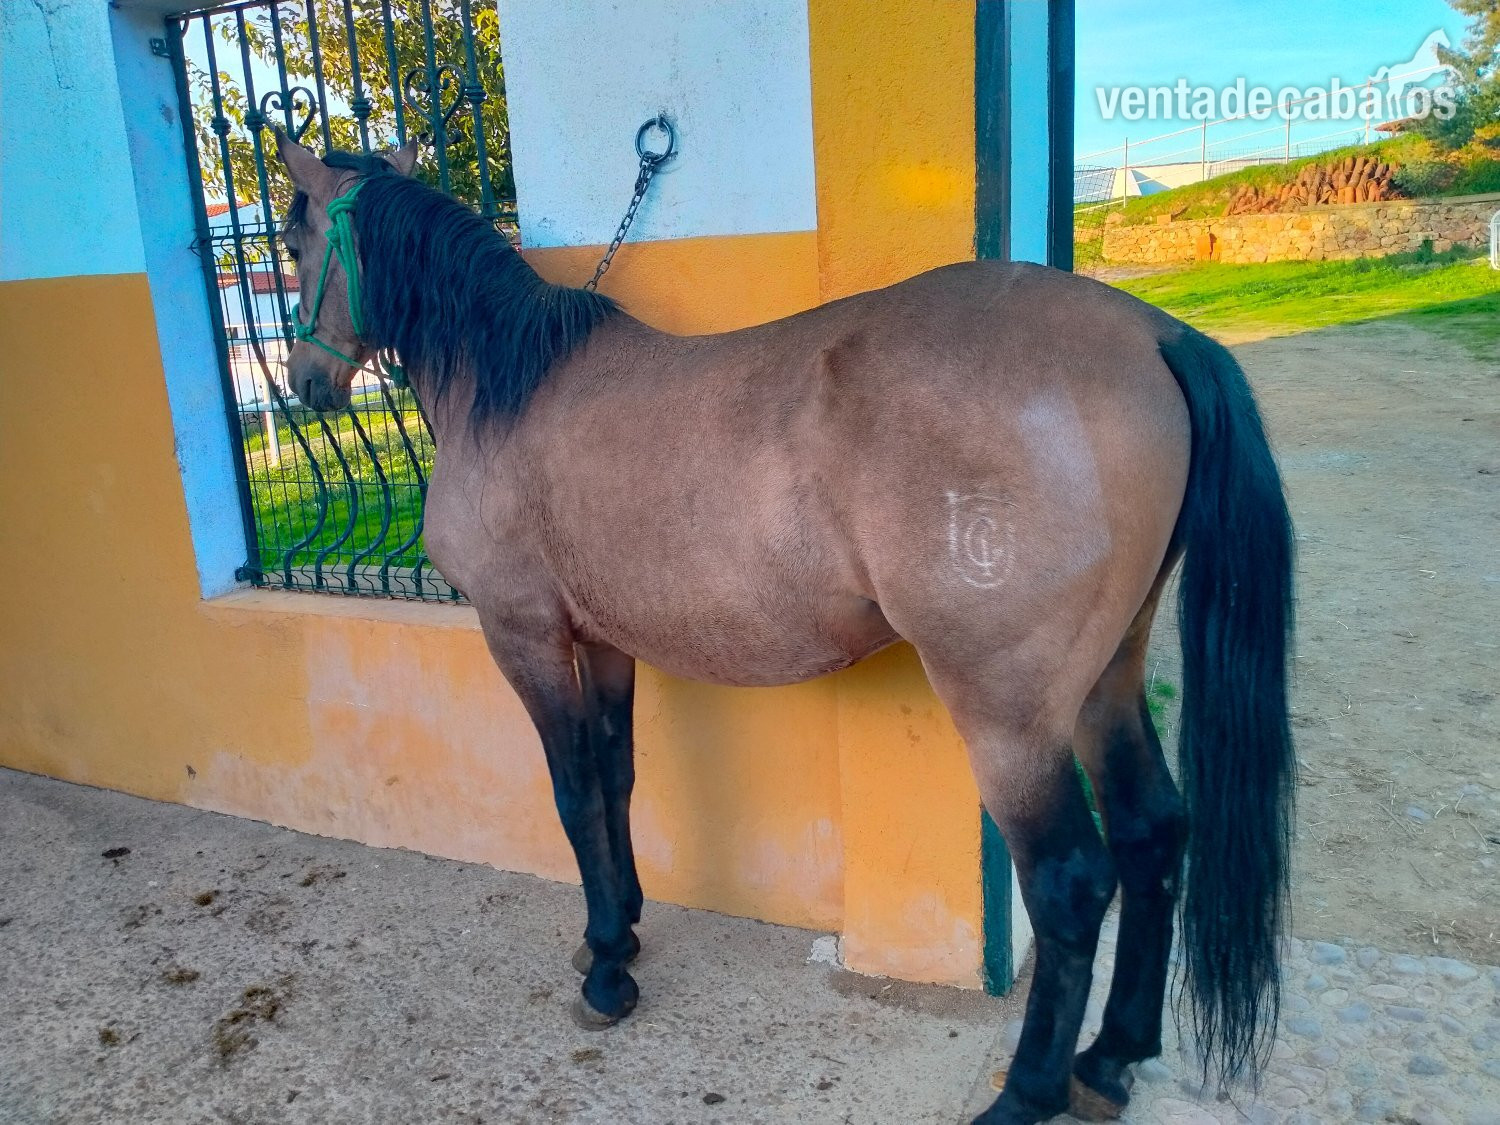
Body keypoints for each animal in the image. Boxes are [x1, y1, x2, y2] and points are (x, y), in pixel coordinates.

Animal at [271, 132, 1295, 1125]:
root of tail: (1154, 333)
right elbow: (617, 776)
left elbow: (572, 792)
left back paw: (1025, 1094)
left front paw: (604, 970)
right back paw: (1110, 1057)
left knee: (1072, 880)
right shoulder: (601, 640)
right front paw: (623, 930)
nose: (305, 385)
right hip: (1105, 680)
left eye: (291, 241)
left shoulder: (523, 633)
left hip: (1010, 714)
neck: (511, 390)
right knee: (1152, 832)